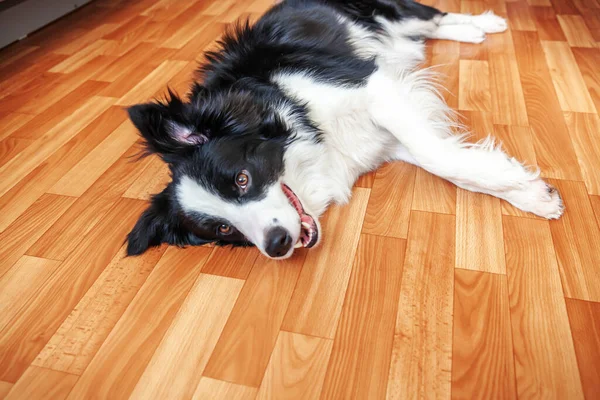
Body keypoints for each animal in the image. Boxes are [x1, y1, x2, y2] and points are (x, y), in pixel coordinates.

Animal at [124, 0, 564, 260]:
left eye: (242, 179)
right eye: (223, 228)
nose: (276, 245)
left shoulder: (374, 86)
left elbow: (438, 157)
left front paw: (520, 187)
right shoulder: (384, 135)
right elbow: (444, 160)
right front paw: (531, 194)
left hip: (390, 11)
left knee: (434, 16)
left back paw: (484, 23)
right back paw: (470, 32)